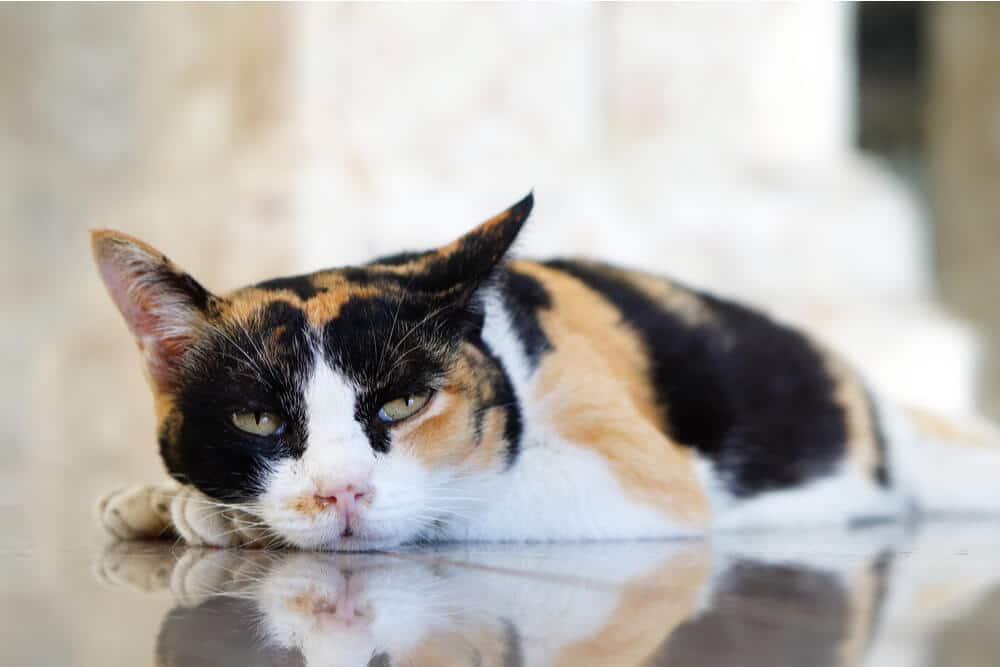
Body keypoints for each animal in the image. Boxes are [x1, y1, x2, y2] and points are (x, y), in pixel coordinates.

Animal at [90, 193, 1000, 552]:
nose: (341, 490)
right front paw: (150, 498)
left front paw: (207, 512)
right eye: (258, 420)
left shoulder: (641, 475)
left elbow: (461, 497)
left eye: (405, 401)